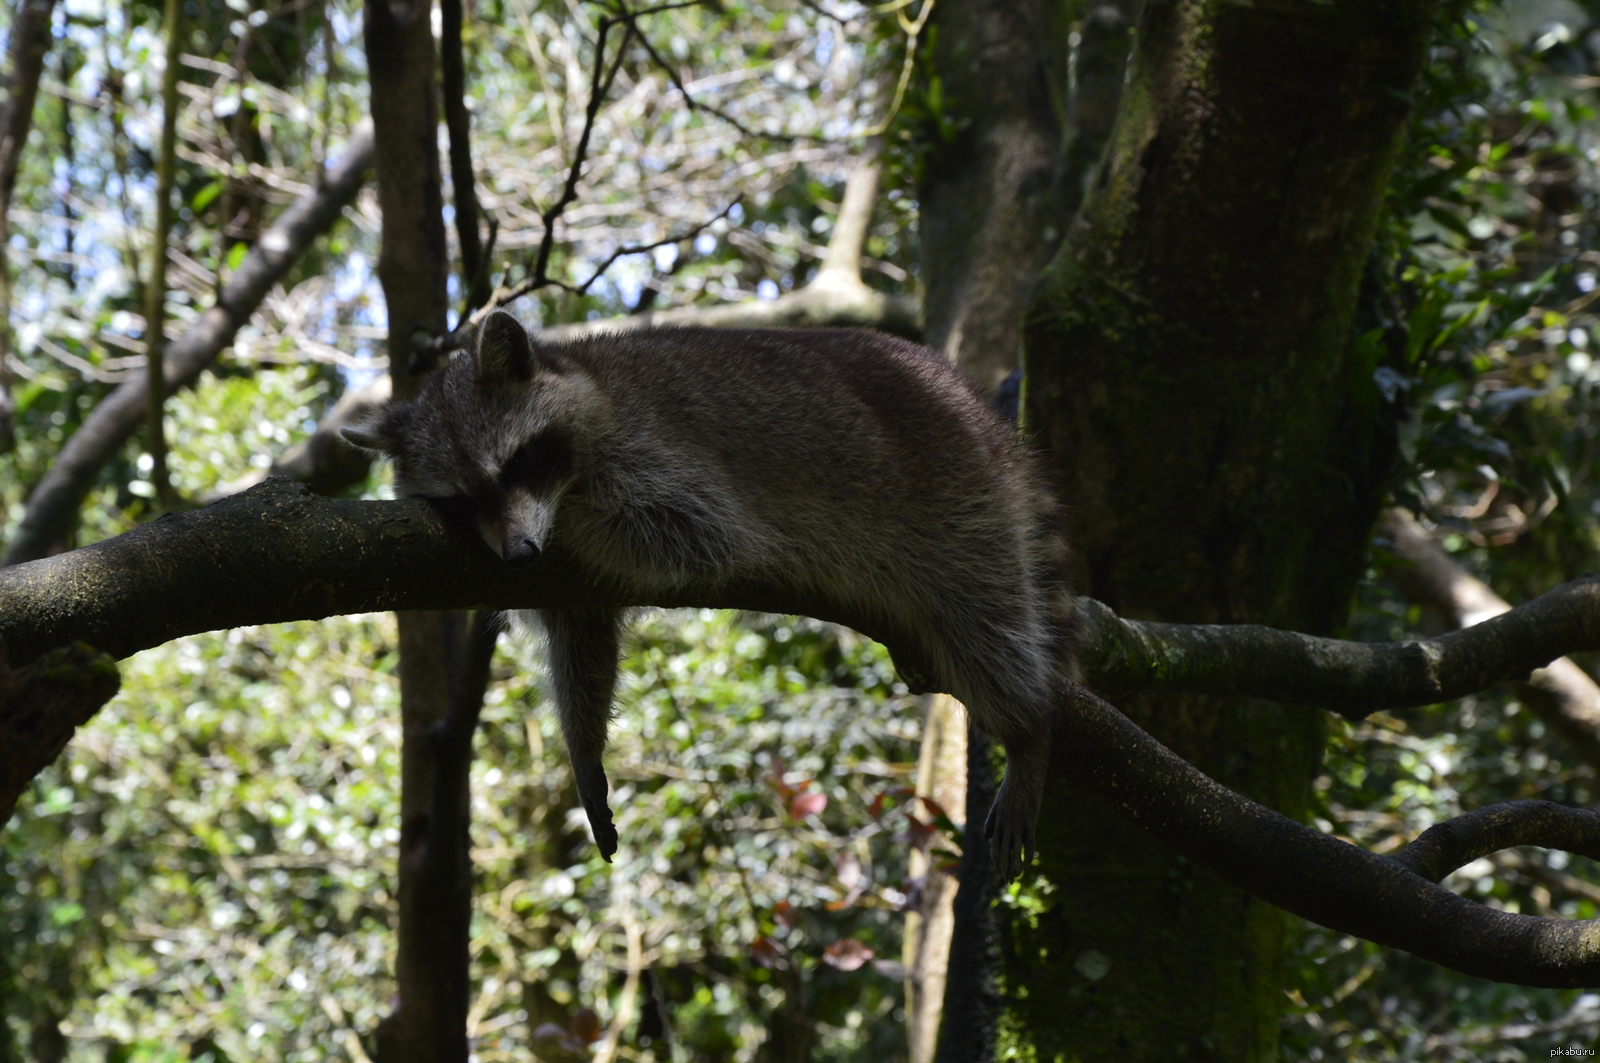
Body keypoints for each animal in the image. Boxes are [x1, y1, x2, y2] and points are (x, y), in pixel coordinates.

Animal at [344, 308, 1081, 877]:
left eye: (517, 462)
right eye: (462, 501)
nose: (522, 555)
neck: (581, 378)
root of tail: (985, 419)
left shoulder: (655, 452)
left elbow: (692, 532)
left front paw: (575, 524)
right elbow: (585, 642)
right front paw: (585, 753)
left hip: (957, 494)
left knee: (986, 618)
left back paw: (1028, 727)